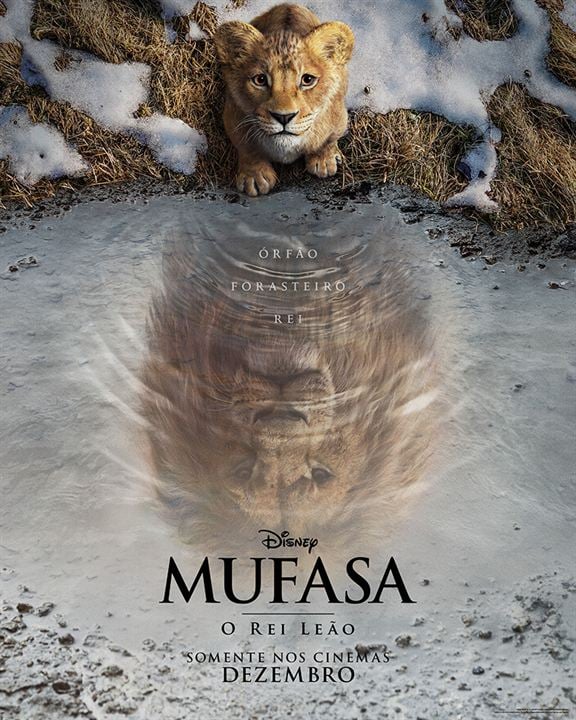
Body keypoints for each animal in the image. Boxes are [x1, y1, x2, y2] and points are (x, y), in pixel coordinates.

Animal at [213, 3, 354, 196]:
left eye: (307, 80)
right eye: (260, 80)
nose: (284, 117)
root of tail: (288, 5)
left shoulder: (339, 117)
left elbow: (328, 140)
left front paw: (324, 161)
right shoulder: (233, 116)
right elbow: (247, 148)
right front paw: (255, 177)